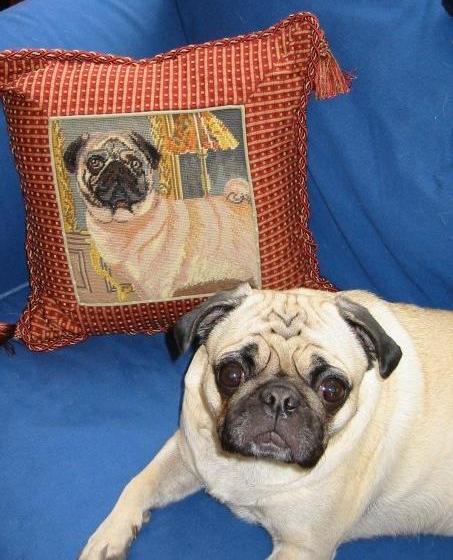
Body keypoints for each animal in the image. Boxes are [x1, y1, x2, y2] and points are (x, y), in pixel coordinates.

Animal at [63, 131, 260, 300]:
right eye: (95, 162)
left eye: (135, 164)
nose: (117, 167)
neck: (123, 224)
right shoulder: (139, 287)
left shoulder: (155, 288)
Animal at [79, 284, 453, 559]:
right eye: (231, 374)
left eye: (332, 390)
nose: (280, 398)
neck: (252, 464)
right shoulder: (186, 453)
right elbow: (139, 483)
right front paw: (109, 536)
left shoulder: (302, 548)